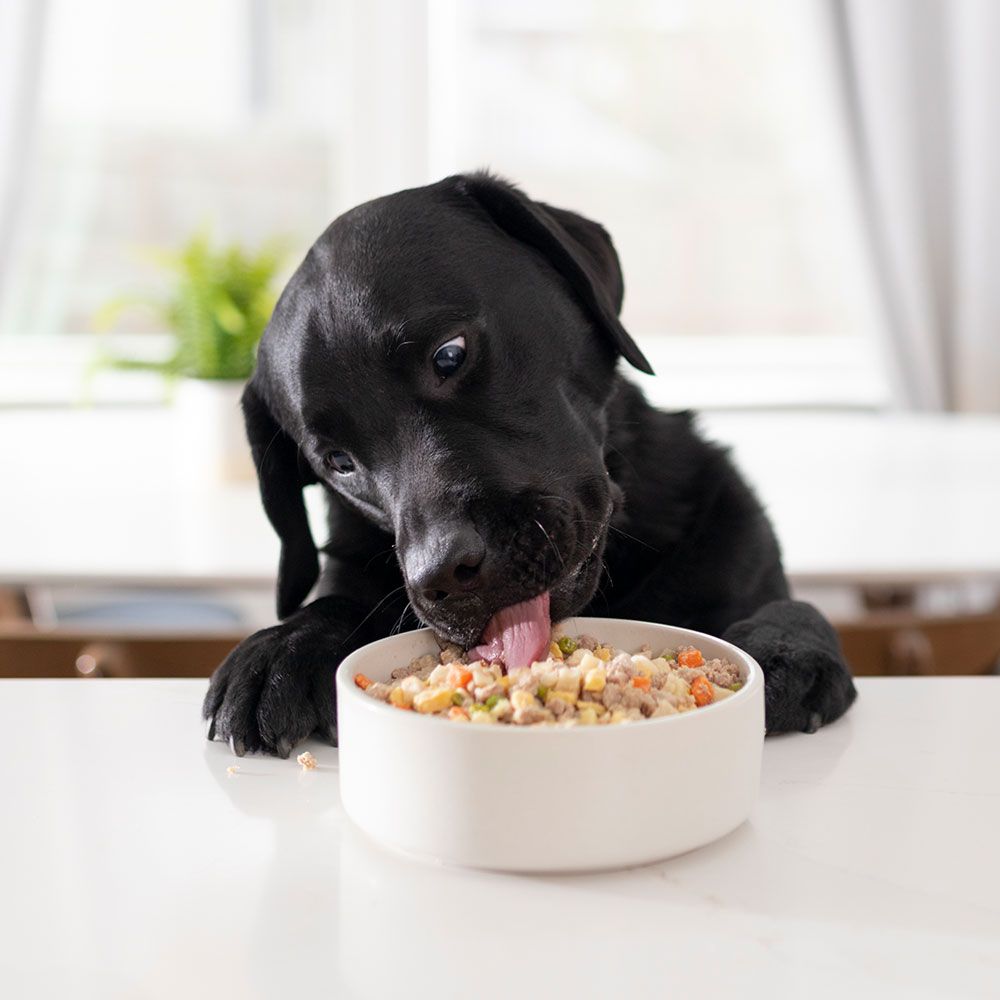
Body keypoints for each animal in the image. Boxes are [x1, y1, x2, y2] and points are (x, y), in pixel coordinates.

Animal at [205, 172, 860, 752]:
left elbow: (796, 605)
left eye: (449, 355)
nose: (444, 576)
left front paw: (782, 647)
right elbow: (333, 603)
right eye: (338, 461)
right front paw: (282, 648)